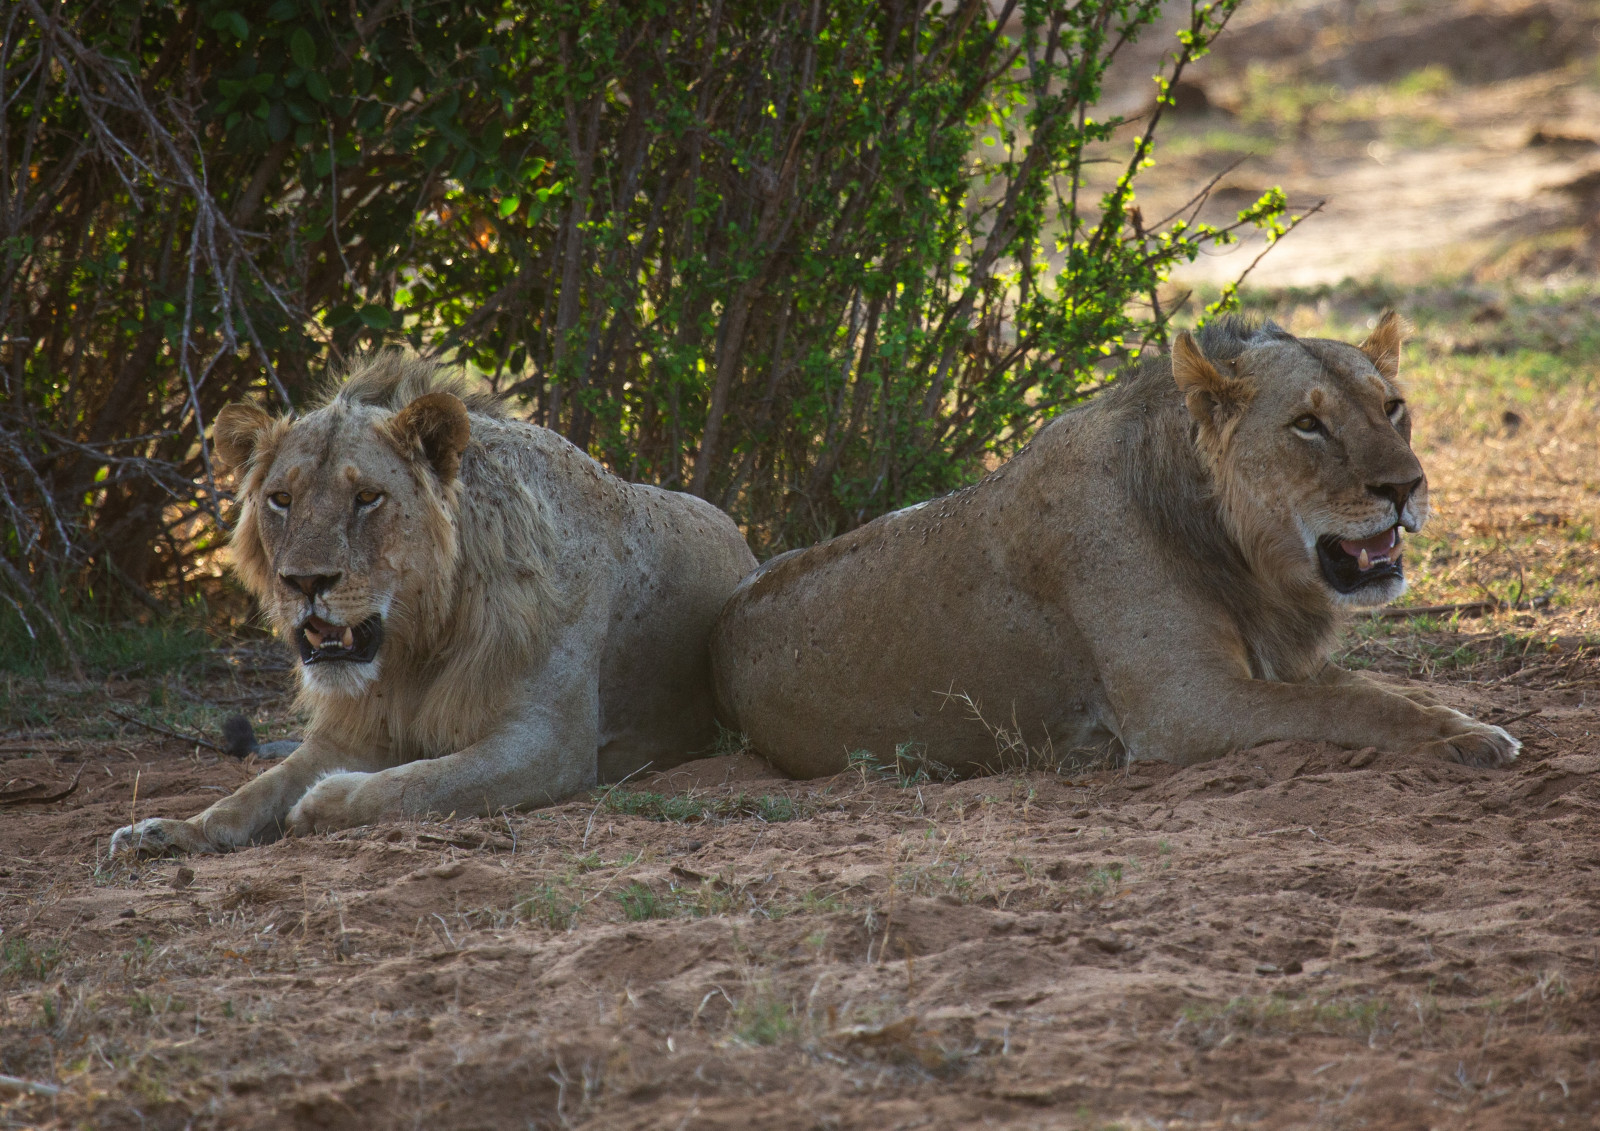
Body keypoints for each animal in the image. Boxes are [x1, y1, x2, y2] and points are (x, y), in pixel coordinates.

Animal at [113, 354, 756, 856]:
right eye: (281, 499)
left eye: (367, 497)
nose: (304, 582)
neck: (419, 639)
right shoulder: (357, 729)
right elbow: (255, 791)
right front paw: (166, 830)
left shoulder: (549, 743)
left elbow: (416, 784)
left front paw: (321, 802)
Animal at [711, 313, 1518, 778]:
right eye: (1307, 425)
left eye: (1393, 407)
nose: (1406, 486)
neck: (1243, 556)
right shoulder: (1183, 708)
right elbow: (1351, 709)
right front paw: (1466, 740)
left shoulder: (1275, 666)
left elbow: (1376, 690)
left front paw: (1464, 720)